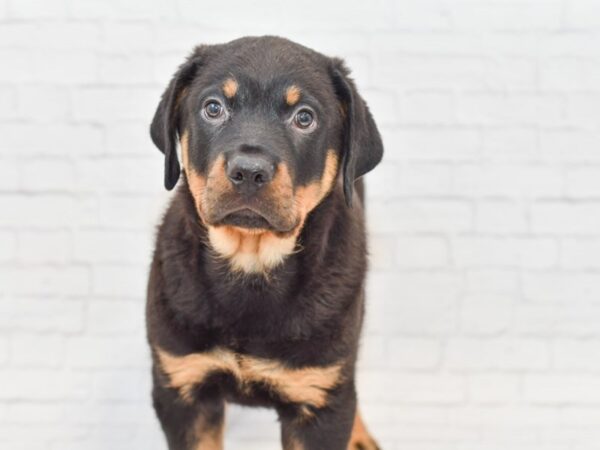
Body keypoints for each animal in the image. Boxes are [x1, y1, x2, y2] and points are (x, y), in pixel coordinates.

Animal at [146, 36, 384, 450]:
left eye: (304, 117)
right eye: (213, 108)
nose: (248, 172)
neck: (251, 263)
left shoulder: (318, 400)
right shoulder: (182, 386)